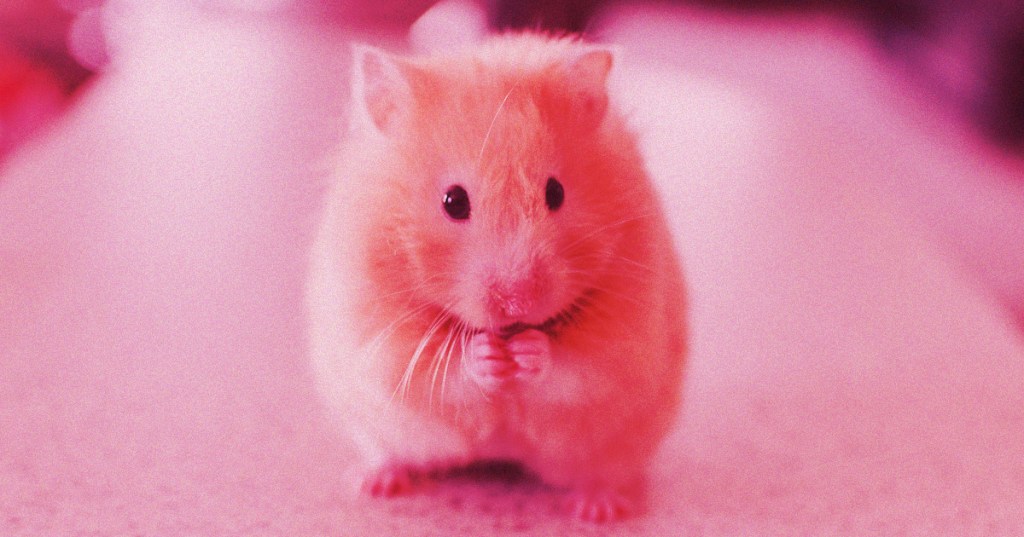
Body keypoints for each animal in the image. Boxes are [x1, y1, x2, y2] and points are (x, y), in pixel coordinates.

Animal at [306, 33, 687, 522]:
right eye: (453, 201)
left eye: (556, 192)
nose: (517, 301)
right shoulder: (379, 337)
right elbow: (440, 371)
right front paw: (487, 356)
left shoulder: (625, 335)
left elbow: (578, 367)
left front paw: (528, 352)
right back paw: (374, 483)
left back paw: (597, 510)